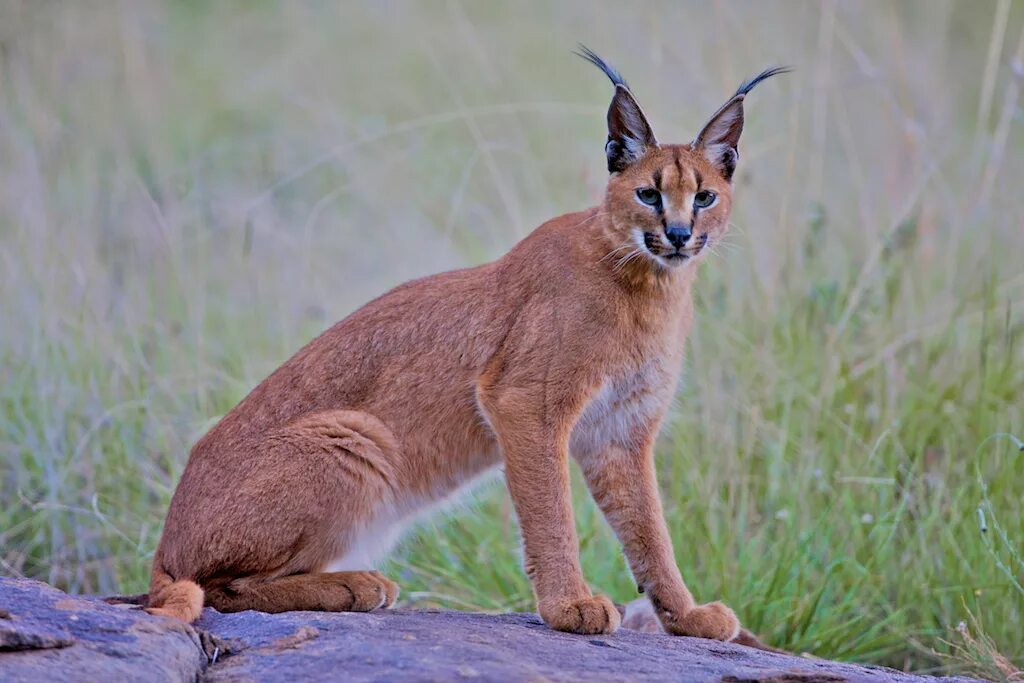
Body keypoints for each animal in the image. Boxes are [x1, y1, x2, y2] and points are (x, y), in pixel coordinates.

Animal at [144, 45, 782, 643]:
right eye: (649, 194)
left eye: (704, 197)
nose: (677, 234)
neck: (649, 284)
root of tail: (164, 546)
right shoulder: (524, 401)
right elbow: (552, 511)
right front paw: (568, 607)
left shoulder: (621, 430)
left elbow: (650, 531)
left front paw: (686, 616)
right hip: (354, 435)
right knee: (216, 586)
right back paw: (355, 585)